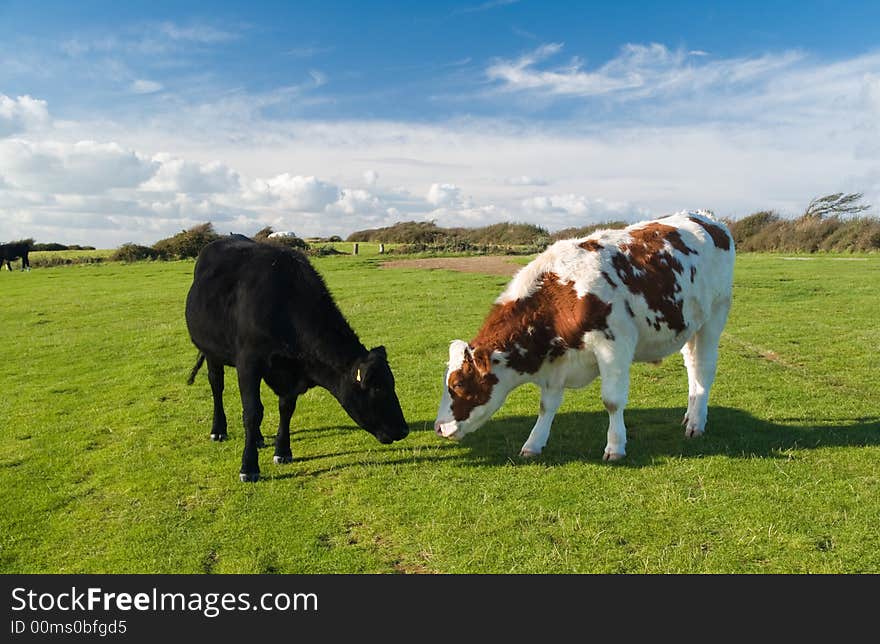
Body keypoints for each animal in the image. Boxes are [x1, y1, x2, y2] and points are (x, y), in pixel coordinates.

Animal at [185, 234, 410, 480]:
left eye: (392, 384)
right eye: (377, 388)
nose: (403, 429)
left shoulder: (291, 375)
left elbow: (285, 409)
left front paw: (282, 451)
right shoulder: (248, 363)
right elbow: (252, 412)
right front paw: (249, 467)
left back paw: (258, 438)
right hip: (211, 352)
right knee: (217, 386)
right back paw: (218, 430)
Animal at [434, 210, 736, 458]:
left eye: (458, 384)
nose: (438, 427)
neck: (562, 294)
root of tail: (706, 218)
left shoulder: (613, 345)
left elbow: (612, 401)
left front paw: (615, 447)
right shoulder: (556, 360)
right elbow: (547, 405)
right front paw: (533, 444)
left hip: (714, 318)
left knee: (703, 369)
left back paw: (696, 423)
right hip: (690, 326)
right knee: (692, 367)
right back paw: (690, 414)